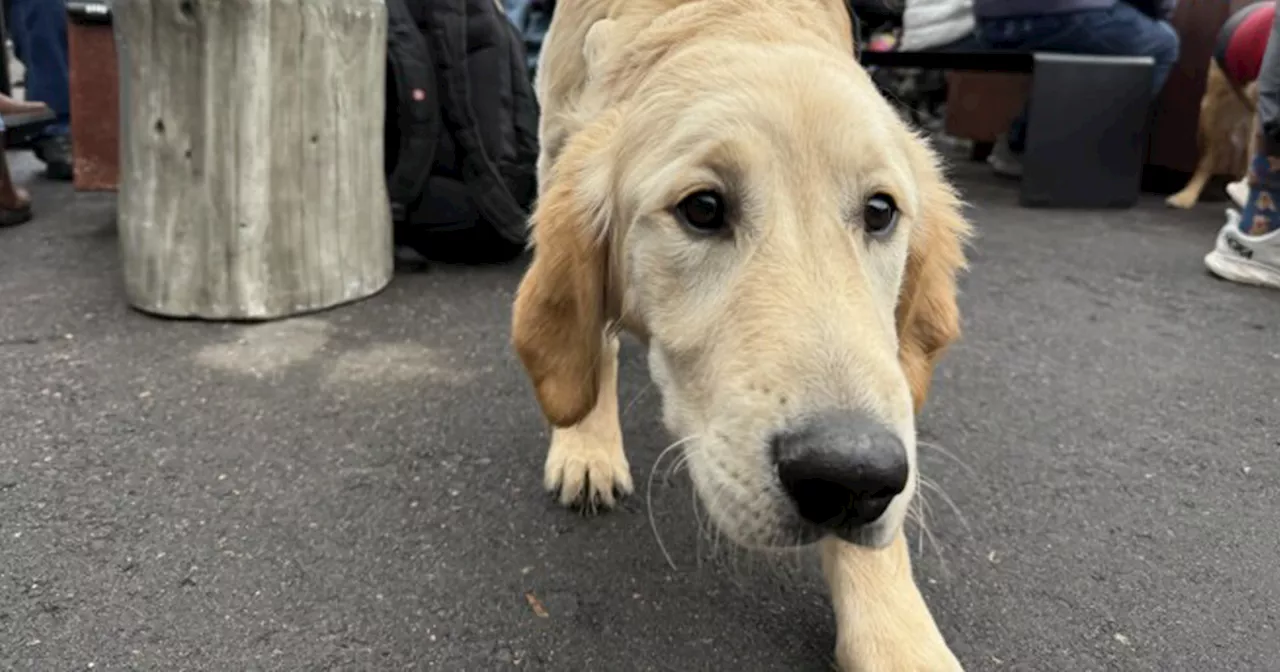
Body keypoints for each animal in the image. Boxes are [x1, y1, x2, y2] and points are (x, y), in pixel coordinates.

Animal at [509, 0, 967, 665]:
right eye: (702, 208)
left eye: (880, 211)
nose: (851, 479)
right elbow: (589, 337)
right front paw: (585, 440)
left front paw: (897, 638)